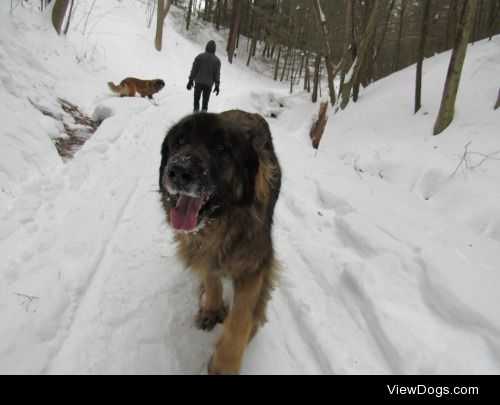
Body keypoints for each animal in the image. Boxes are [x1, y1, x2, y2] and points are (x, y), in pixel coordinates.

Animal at [159, 109, 282, 372]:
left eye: (222, 148)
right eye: (179, 141)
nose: (179, 171)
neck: (221, 224)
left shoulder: (255, 265)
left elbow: (241, 317)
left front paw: (225, 363)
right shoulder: (202, 249)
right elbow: (212, 277)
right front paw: (212, 310)